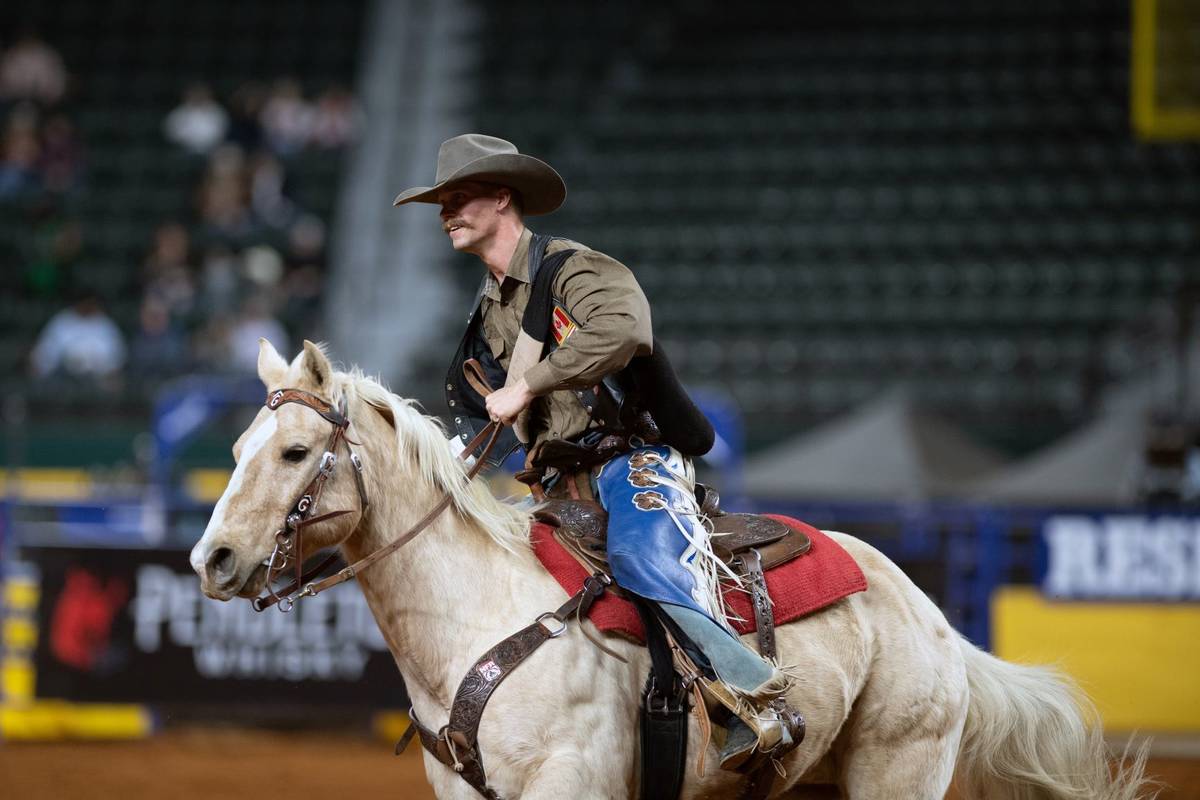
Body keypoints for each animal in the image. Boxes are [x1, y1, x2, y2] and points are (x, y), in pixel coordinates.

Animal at [189, 340, 1152, 796]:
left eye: (296, 452)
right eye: (233, 451)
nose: (211, 558)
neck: (478, 620)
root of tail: (934, 616)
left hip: (898, 772)